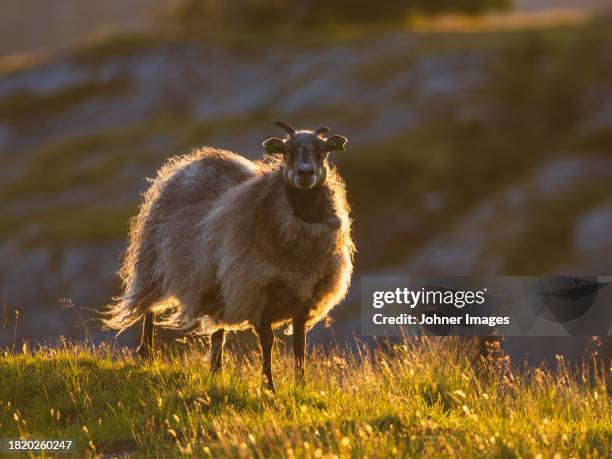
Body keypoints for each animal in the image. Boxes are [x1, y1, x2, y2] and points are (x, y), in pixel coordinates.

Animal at [104, 119, 354, 392]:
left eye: (323, 151)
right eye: (286, 151)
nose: (305, 173)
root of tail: (193, 160)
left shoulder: (305, 297)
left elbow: (300, 343)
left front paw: (301, 385)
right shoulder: (255, 292)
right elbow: (267, 341)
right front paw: (269, 386)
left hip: (216, 287)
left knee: (217, 331)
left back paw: (216, 370)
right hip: (154, 263)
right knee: (149, 308)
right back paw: (146, 353)